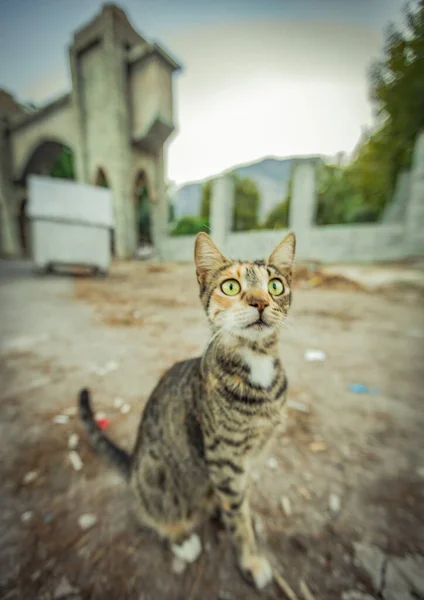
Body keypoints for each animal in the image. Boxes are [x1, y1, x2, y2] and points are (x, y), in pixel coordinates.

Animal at [78, 231, 294, 592]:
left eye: (275, 286)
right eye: (231, 286)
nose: (260, 302)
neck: (257, 363)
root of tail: (133, 463)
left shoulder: (252, 457)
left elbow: (242, 500)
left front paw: (245, 517)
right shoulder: (226, 457)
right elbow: (237, 517)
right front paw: (250, 559)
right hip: (155, 473)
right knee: (150, 512)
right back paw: (180, 537)